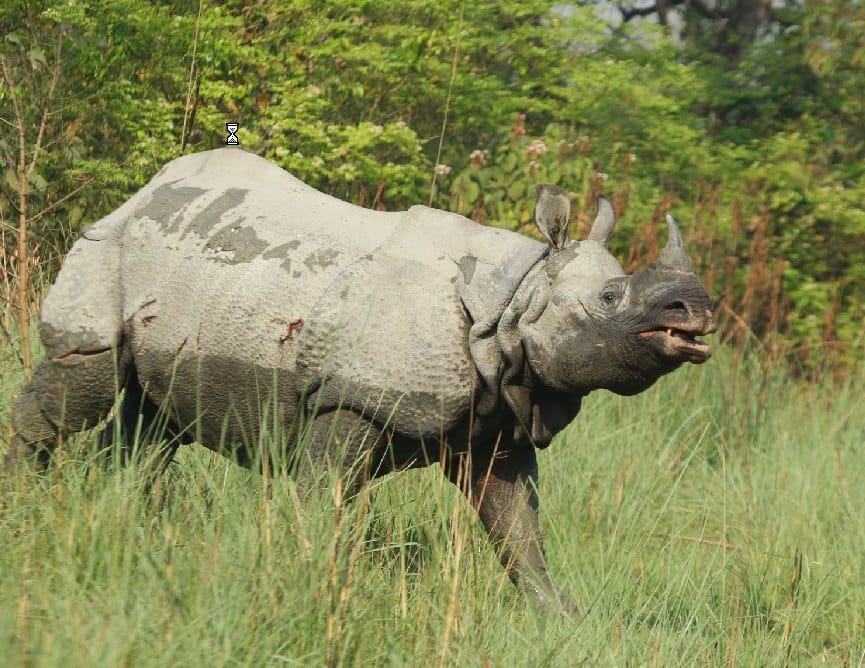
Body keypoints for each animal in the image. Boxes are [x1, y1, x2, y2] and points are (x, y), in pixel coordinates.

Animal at [6, 148, 715, 614]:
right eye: (610, 297)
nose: (700, 308)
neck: (516, 299)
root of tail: (146, 189)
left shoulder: (499, 420)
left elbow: (518, 531)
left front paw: (559, 618)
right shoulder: (353, 399)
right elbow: (322, 502)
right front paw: (306, 582)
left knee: (154, 421)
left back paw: (121, 520)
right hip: (112, 245)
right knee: (88, 374)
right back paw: (27, 501)